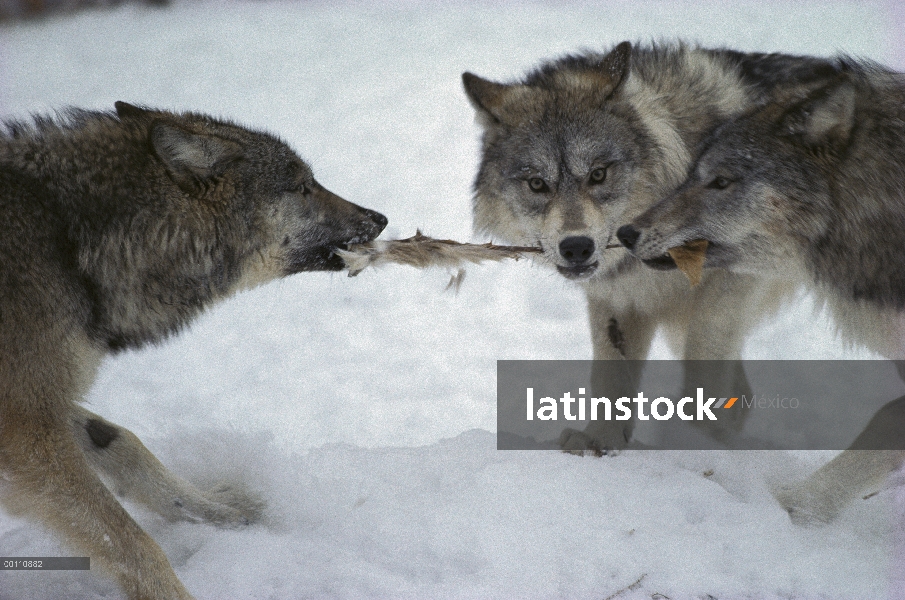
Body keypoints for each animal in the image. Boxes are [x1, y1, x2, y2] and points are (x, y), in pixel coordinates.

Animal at [0, 101, 384, 596]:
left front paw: (221, 513)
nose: (380, 218)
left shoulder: (41, 403)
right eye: (302, 187)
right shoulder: (25, 424)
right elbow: (126, 540)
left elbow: (127, 446)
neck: (71, 239)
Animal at [460, 42, 832, 452]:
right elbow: (611, 379)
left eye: (598, 174)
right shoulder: (621, 298)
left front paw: (695, 439)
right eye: (538, 184)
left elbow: (704, 362)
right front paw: (601, 441)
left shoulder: (734, 281)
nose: (577, 247)